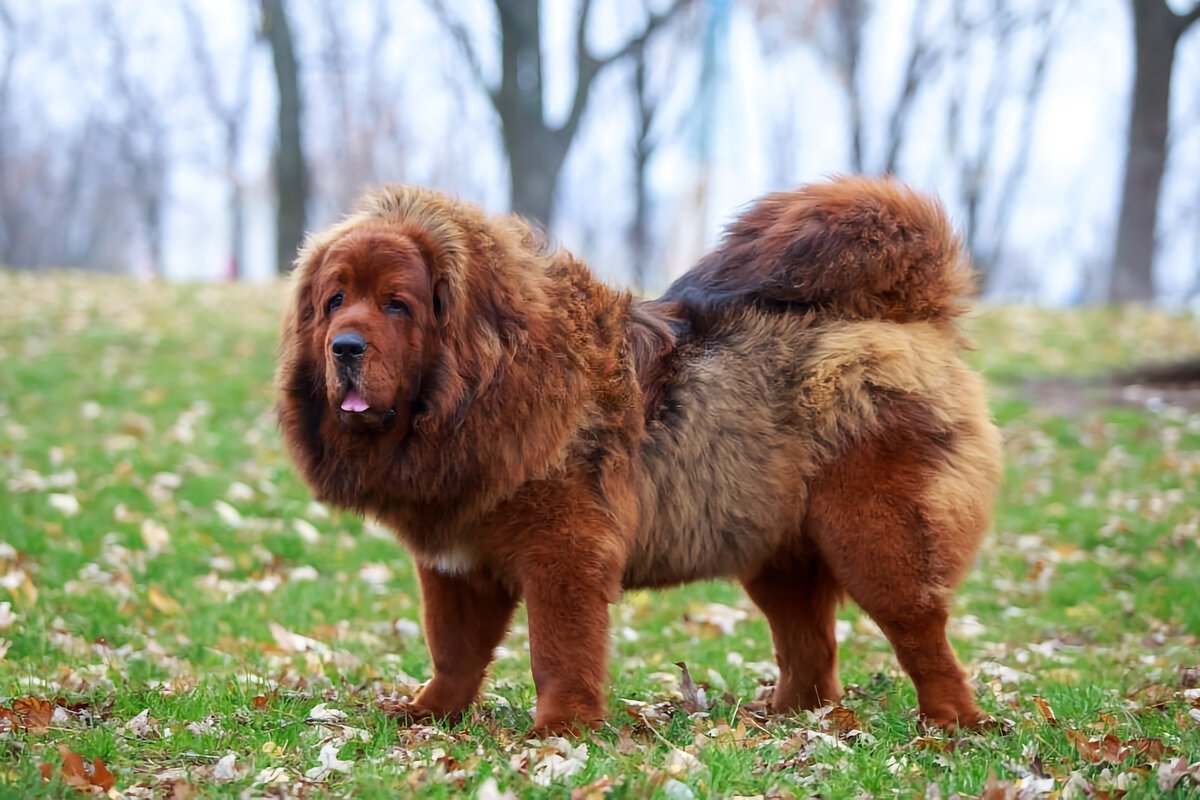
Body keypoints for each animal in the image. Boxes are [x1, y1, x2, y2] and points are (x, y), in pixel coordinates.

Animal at [278, 178, 1003, 734]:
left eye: (397, 305)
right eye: (335, 300)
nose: (345, 346)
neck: (480, 391)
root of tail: (912, 316)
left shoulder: (563, 552)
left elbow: (558, 649)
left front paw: (560, 730)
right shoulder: (455, 564)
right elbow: (453, 651)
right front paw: (428, 715)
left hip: (875, 539)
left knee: (921, 636)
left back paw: (951, 726)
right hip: (777, 553)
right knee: (812, 651)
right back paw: (784, 718)